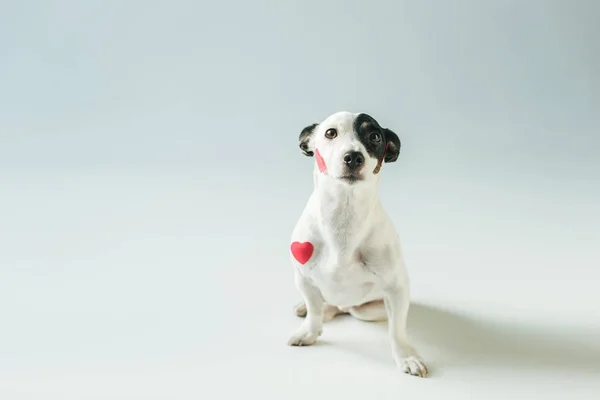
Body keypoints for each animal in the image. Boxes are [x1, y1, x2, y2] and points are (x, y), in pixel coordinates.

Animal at [288, 110, 428, 378]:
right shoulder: (303, 278)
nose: (353, 156)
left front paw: (406, 356)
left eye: (374, 136)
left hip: (366, 310)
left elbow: (397, 330)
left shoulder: (396, 290)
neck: (344, 215)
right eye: (330, 133)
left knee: (344, 308)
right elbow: (314, 310)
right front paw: (309, 330)